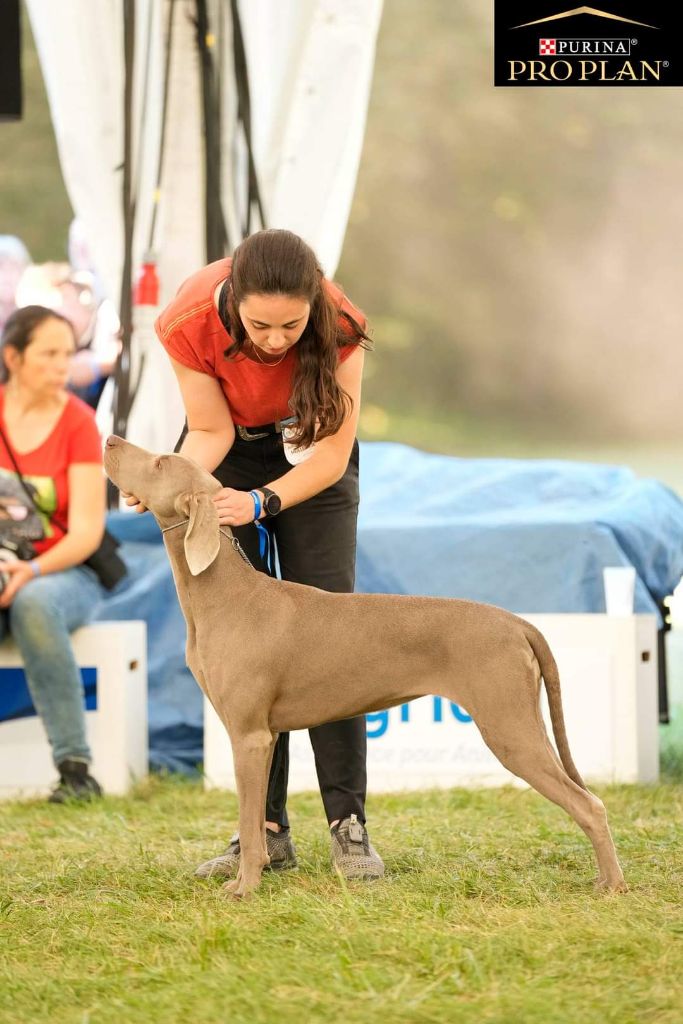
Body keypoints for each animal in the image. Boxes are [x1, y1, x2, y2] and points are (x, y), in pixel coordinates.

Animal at [104, 436, 626, 901]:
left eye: (161, 462)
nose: (109, 439)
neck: (225, 595)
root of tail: (518, 622)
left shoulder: (248, 735)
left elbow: (250, 827)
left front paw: (244, 889)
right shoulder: (263, 737)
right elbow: (253, 820)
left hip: (509, 728)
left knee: (591, 805)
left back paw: (613, 885)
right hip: (524, 720)